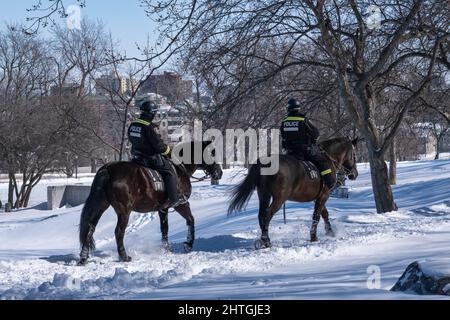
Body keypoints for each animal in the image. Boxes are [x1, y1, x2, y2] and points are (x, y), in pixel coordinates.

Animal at [80, 142, 224, 264]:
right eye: (212, 153)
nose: (219, 172)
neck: (180, 168)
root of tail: (108, 169)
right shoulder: (181, 204)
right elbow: (190, 219)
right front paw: (188, 245)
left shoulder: (163, 208)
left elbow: (165, 228)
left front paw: (166, 249)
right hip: (124, 210)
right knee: (118, 232)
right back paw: (124, 256)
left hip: (101, 205)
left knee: (90, 228)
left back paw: (84, 257)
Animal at [229, 136, 358, 249]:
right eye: (354, 155)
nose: (354, 174)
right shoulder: (323, 195)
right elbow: (316, 215)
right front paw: (314, 237)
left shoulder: (319, 197)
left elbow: (324, 213)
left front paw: (330, 232)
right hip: (279, 199)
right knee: (267, 214)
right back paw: (266, 240)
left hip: (264, 195)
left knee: (261, 215)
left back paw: (264, 239)